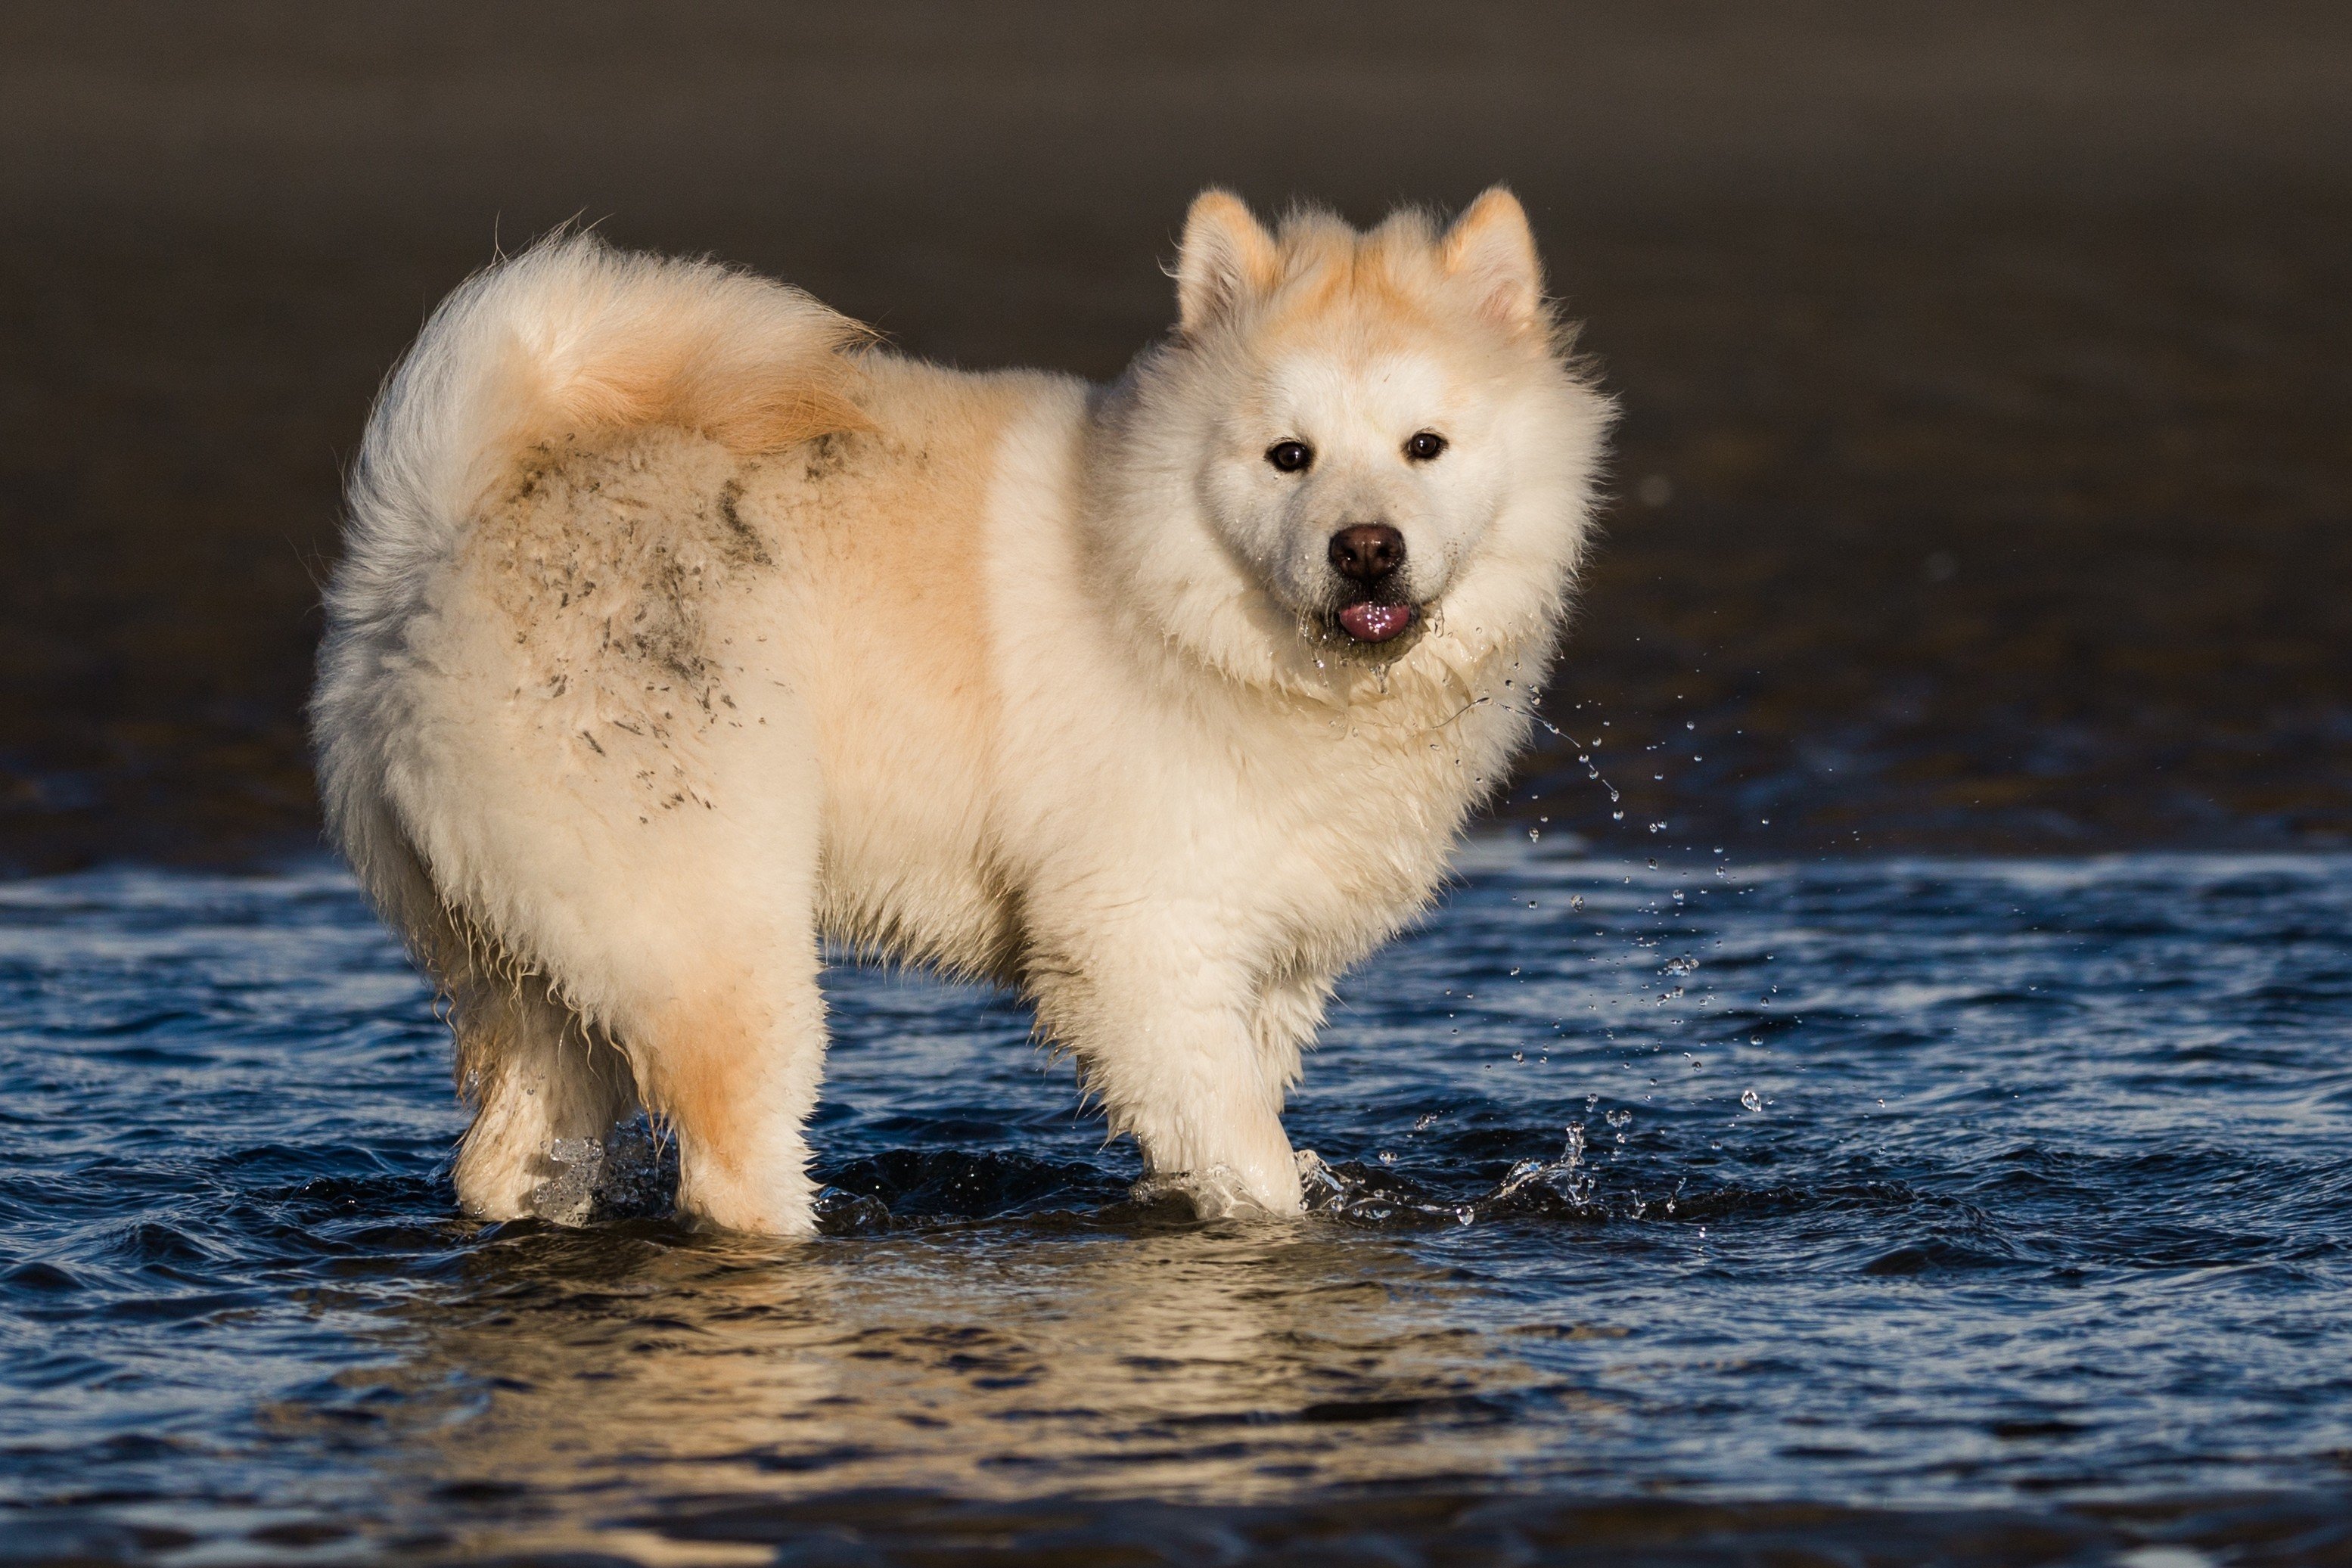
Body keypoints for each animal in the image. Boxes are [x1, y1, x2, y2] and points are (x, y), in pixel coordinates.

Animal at [317, 187, 1617, 1240]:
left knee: (503, 1156)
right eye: (1287, 457)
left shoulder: (1262, 971)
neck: (1168, 594)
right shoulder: (1139, 939)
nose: (1366, 550)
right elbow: (1254, 1161)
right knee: (734, 1167)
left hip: (537, 970)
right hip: (715, 938)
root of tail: (435, 542)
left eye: (1424, 447)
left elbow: (1212, 1128)